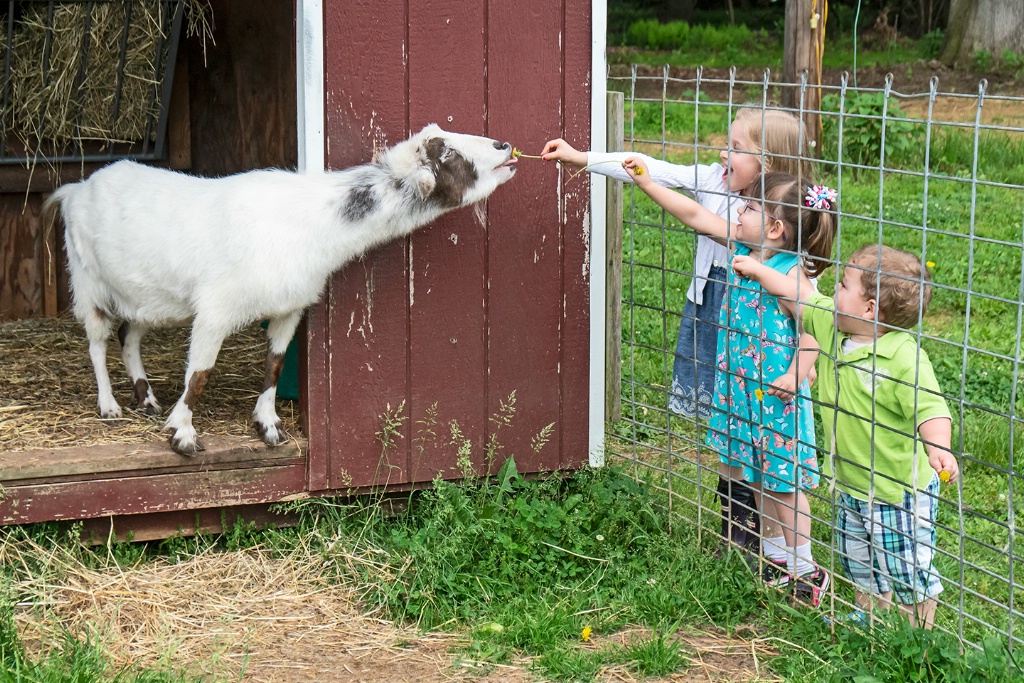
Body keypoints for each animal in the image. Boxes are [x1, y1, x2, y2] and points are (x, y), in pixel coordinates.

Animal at [43, 124, 516, 454]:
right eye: (447, 152)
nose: (505, 147)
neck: (314, 220)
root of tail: (77, 188)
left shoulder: (290, 306)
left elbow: (274, 363)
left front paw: (269, 425)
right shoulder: (215, 309)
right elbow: (200, 375)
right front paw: (183, 435)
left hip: (148, 297)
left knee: (129, 336)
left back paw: (146, 399)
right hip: (88, 282)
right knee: (97, 342)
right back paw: (110, 406)